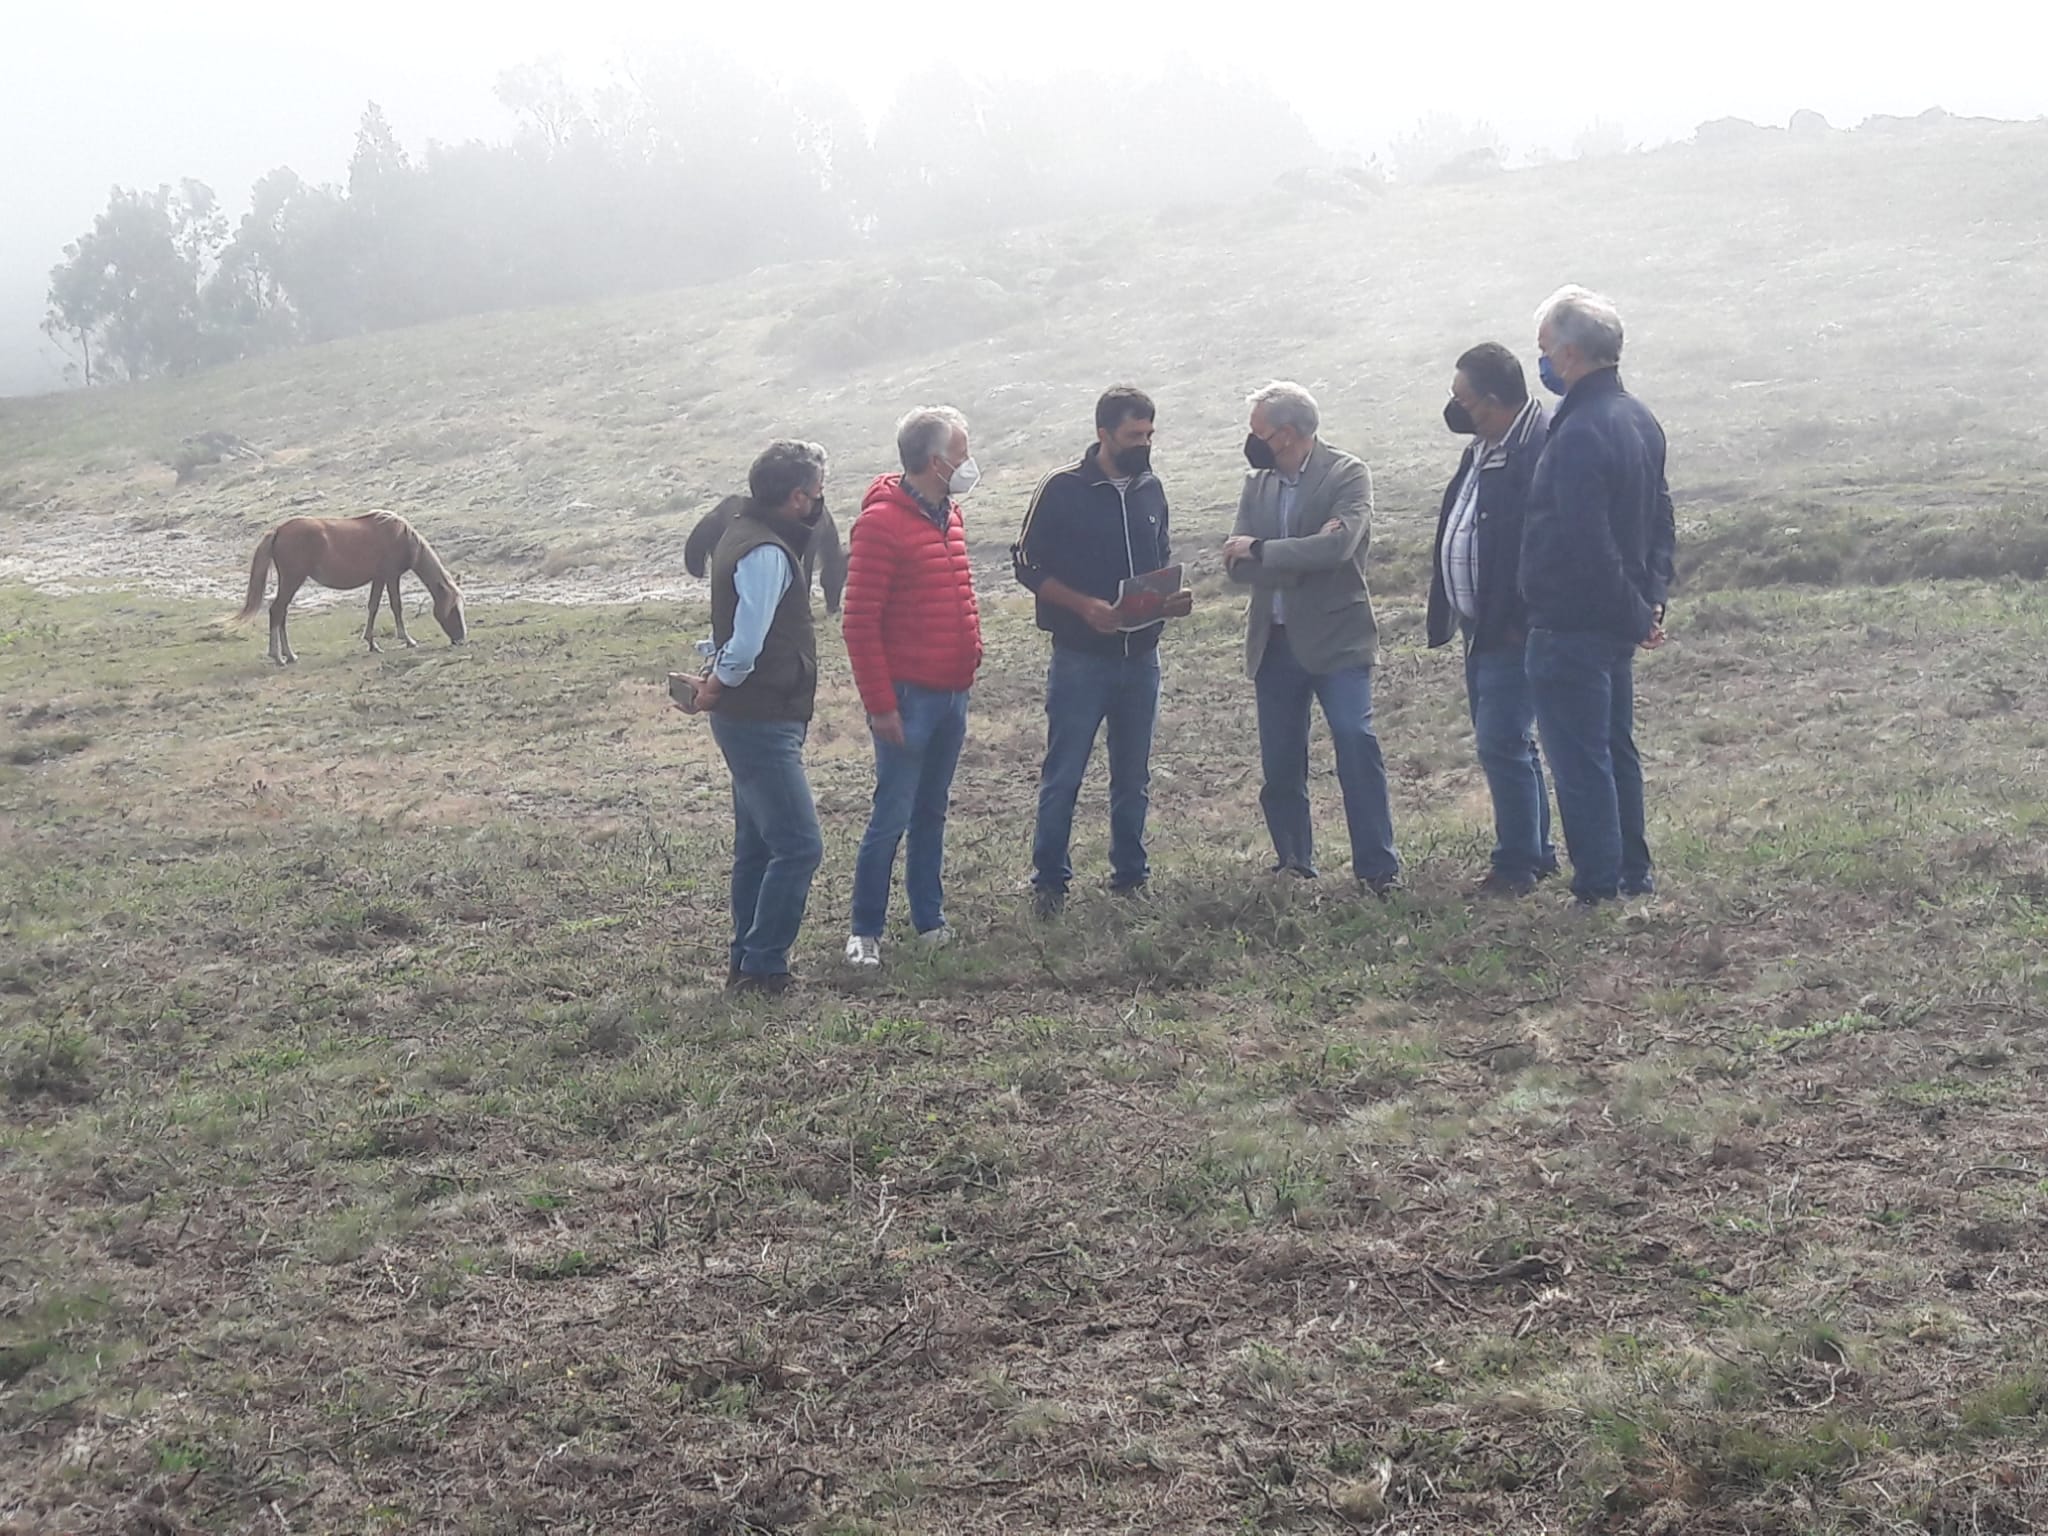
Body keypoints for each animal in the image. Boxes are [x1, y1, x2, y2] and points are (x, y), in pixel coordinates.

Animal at [230, 511, 467, 665]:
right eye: (453, 609)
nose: (461, 639)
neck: (401, 537)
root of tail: (278, 530)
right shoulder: (391, 576)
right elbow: (396, 606)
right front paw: (408, 640)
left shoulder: (379, 578)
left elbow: (373, 607)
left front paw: (372, 643)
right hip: (292, 579)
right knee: (277, 610)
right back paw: (278, 656)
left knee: (282, 613)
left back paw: (289, 655)